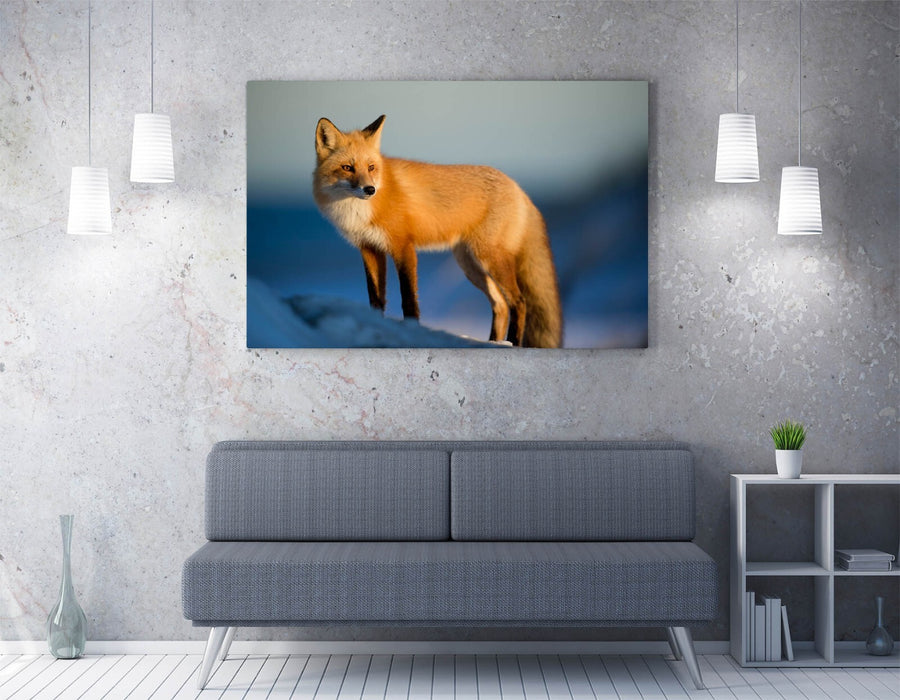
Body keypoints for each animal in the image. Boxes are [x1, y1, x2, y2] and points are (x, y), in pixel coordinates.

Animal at [312, 114, 562, 348]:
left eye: (371, 167)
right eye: (347, 168)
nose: (370, 189)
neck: (359, 211)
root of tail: (518, 188)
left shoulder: (403, 246)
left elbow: (409, 299)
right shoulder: (369, 249)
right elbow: (376, 299)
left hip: (490, 258)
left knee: (519, 302)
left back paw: (513, 343)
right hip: (470, 265)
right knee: (500, 305)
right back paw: (493, 343)